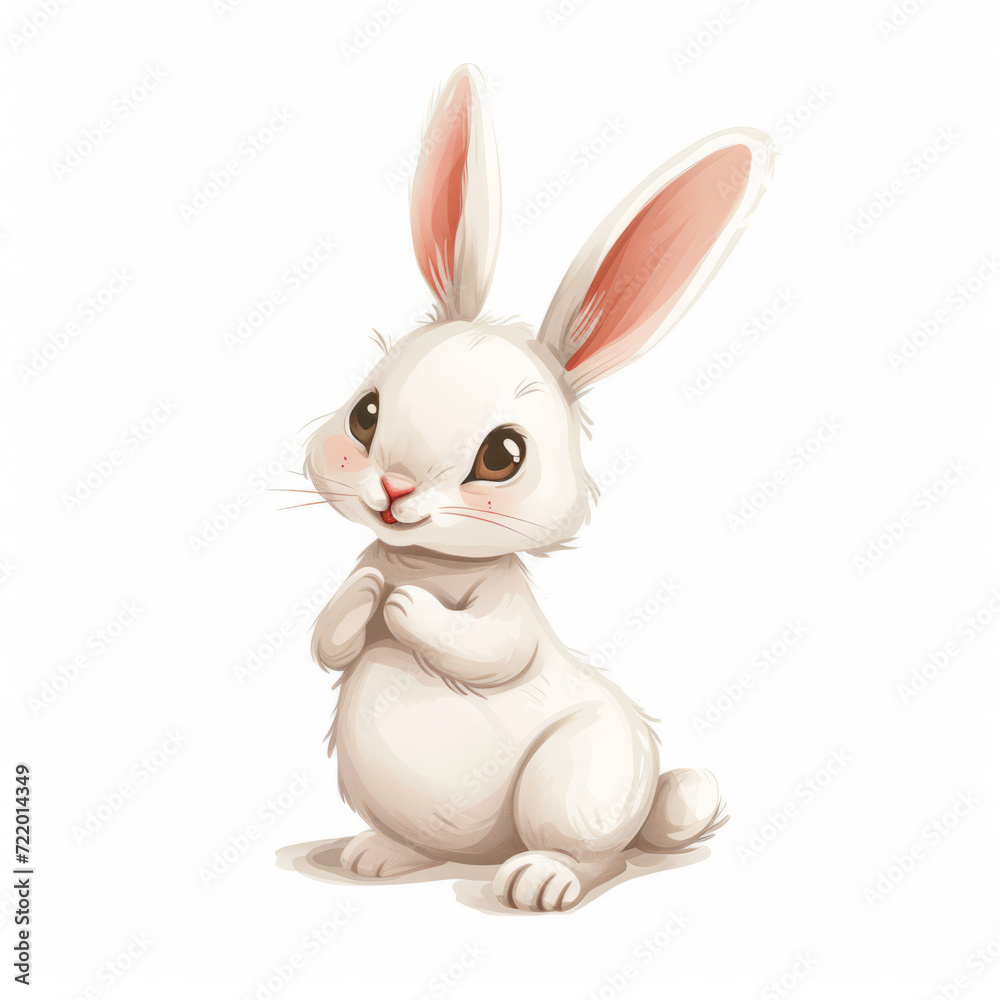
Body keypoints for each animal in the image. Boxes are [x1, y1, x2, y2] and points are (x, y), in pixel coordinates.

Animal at [301, 64, 774, 912]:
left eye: (502, 456)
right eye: (365, 414)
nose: (392, 492)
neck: (426, 559)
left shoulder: (507, 607)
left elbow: (488, 650)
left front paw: (404, 606)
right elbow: (328, 640)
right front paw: (366, 596)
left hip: (574, 781)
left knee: (591, 856)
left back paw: (541, 881)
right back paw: (377, 856)